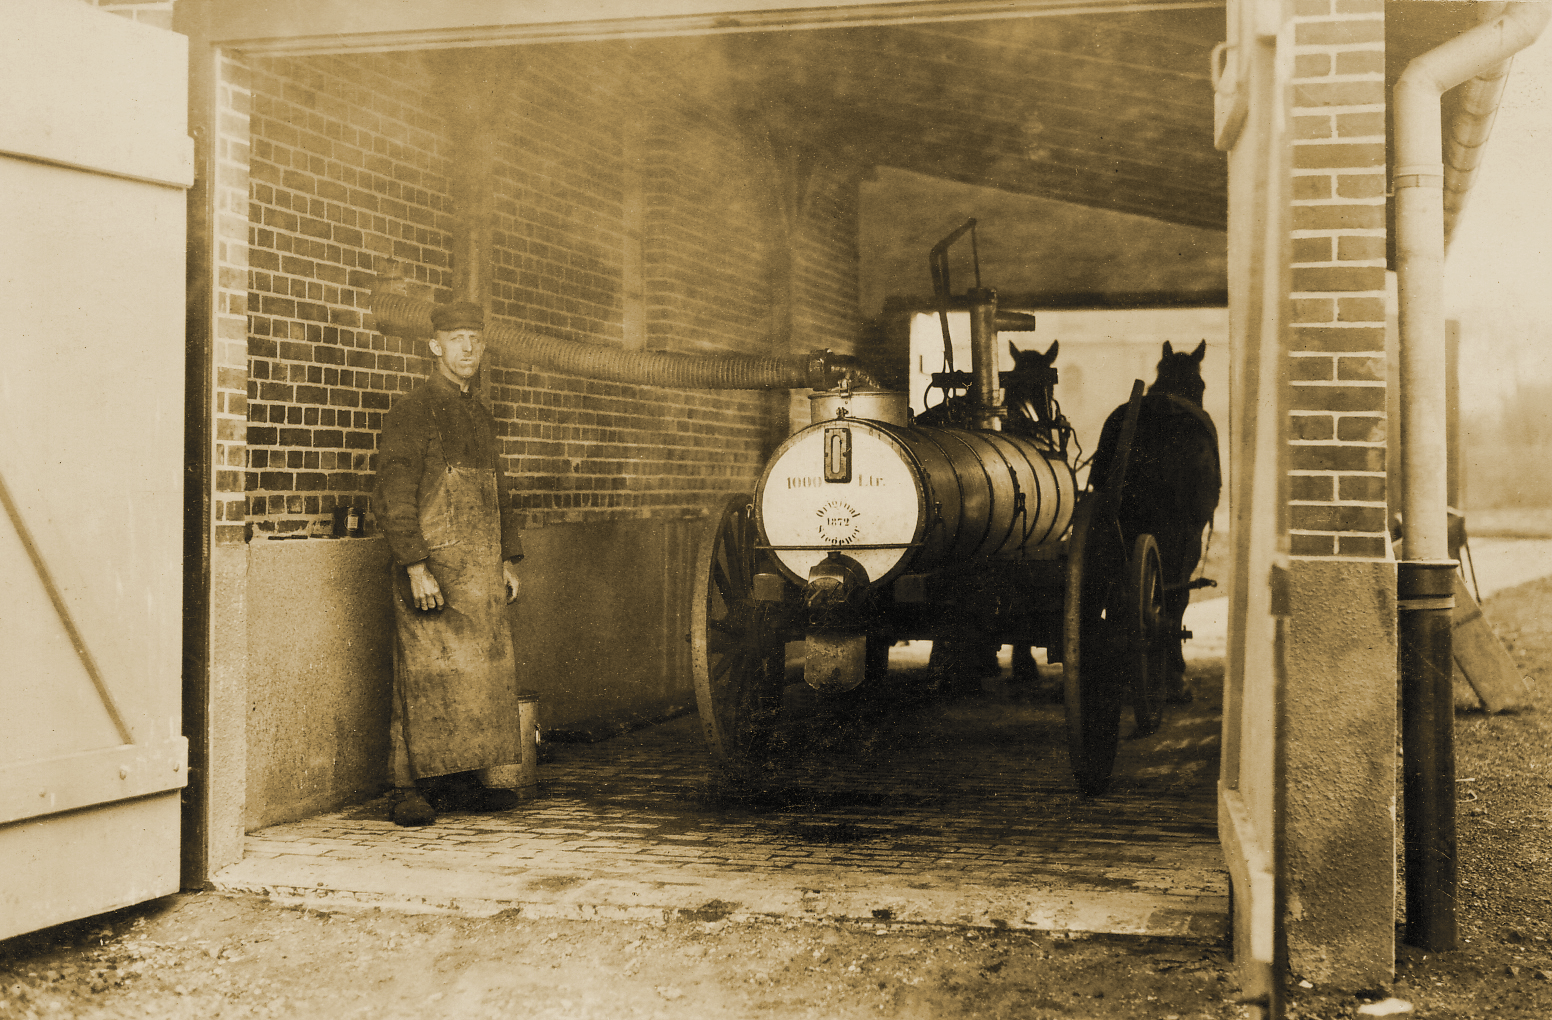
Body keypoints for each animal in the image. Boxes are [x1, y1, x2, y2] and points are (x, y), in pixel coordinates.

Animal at [1086, 341, 1216, 701]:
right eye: (1202, 385)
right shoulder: (1190, 532)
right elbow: (1176, 594)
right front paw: (1175, 670)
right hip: (1184, 533)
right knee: (1173, 593)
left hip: (1126, 523)